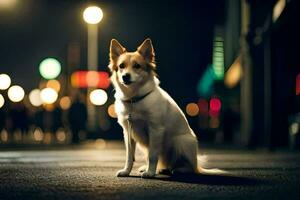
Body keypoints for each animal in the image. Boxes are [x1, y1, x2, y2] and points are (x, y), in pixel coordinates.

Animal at [108, 38, 220, 177]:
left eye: (137, 66)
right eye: (121, 66)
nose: (125, 76)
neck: (134, 99)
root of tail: (197, 165)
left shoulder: (155, 129)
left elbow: (152, 155)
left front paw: (150, 173)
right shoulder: (128, 132)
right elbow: (129, 157)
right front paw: (127, 171)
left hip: (181, 141)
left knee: (189, 167)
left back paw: (179, 169)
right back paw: (157, 168)